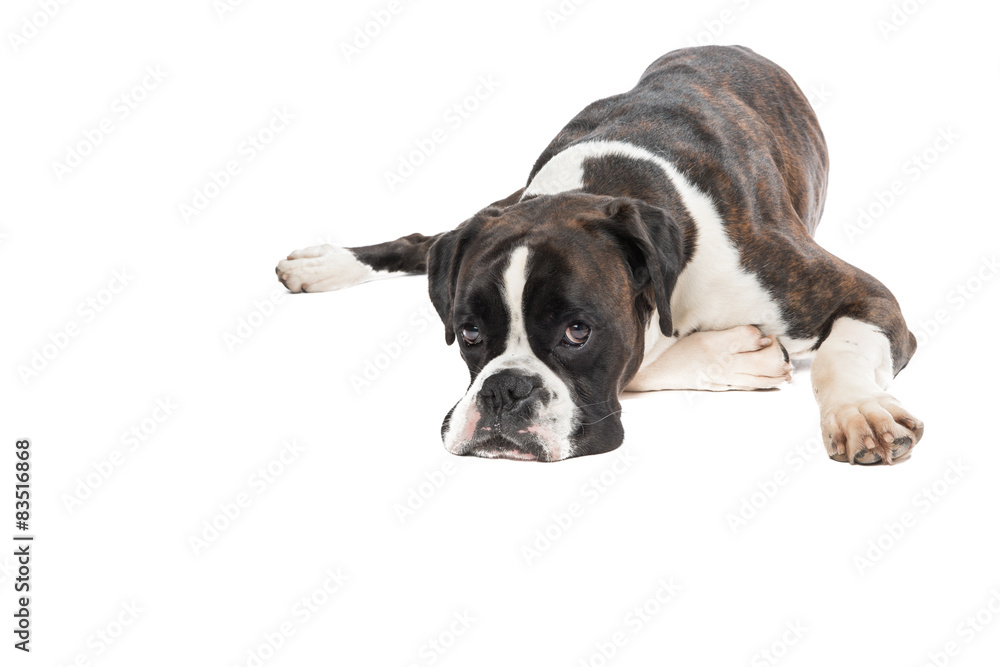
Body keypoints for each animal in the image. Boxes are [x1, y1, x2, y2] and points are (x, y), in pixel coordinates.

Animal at [272, 45, 920, 464]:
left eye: (578, 331)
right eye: (470, 332)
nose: (504, 390)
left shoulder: (860, 296)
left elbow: (841, 353)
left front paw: (860, 411)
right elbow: (642, 363)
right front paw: (736, 354)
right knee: (425, 243)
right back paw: (323, 264)